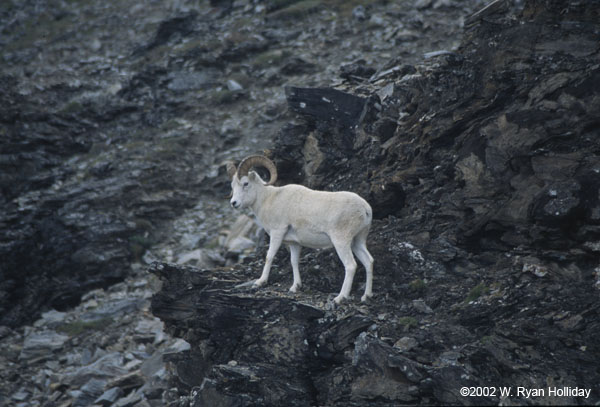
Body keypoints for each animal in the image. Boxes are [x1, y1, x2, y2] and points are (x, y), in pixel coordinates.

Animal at [227, 155, 372, 304]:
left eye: (245, 183)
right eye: (232, 186)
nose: (234, 203)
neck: (268, 199)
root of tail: (365, 209)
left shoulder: (277, 232)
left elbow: (269, 256)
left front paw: (260, 282)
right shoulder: (294, 243)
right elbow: (294, 261)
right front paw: (295, 287)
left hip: (341, 242)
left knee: (350, 265)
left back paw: (340, 298)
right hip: (357, 241)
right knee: (369, 261)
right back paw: (366, 296)